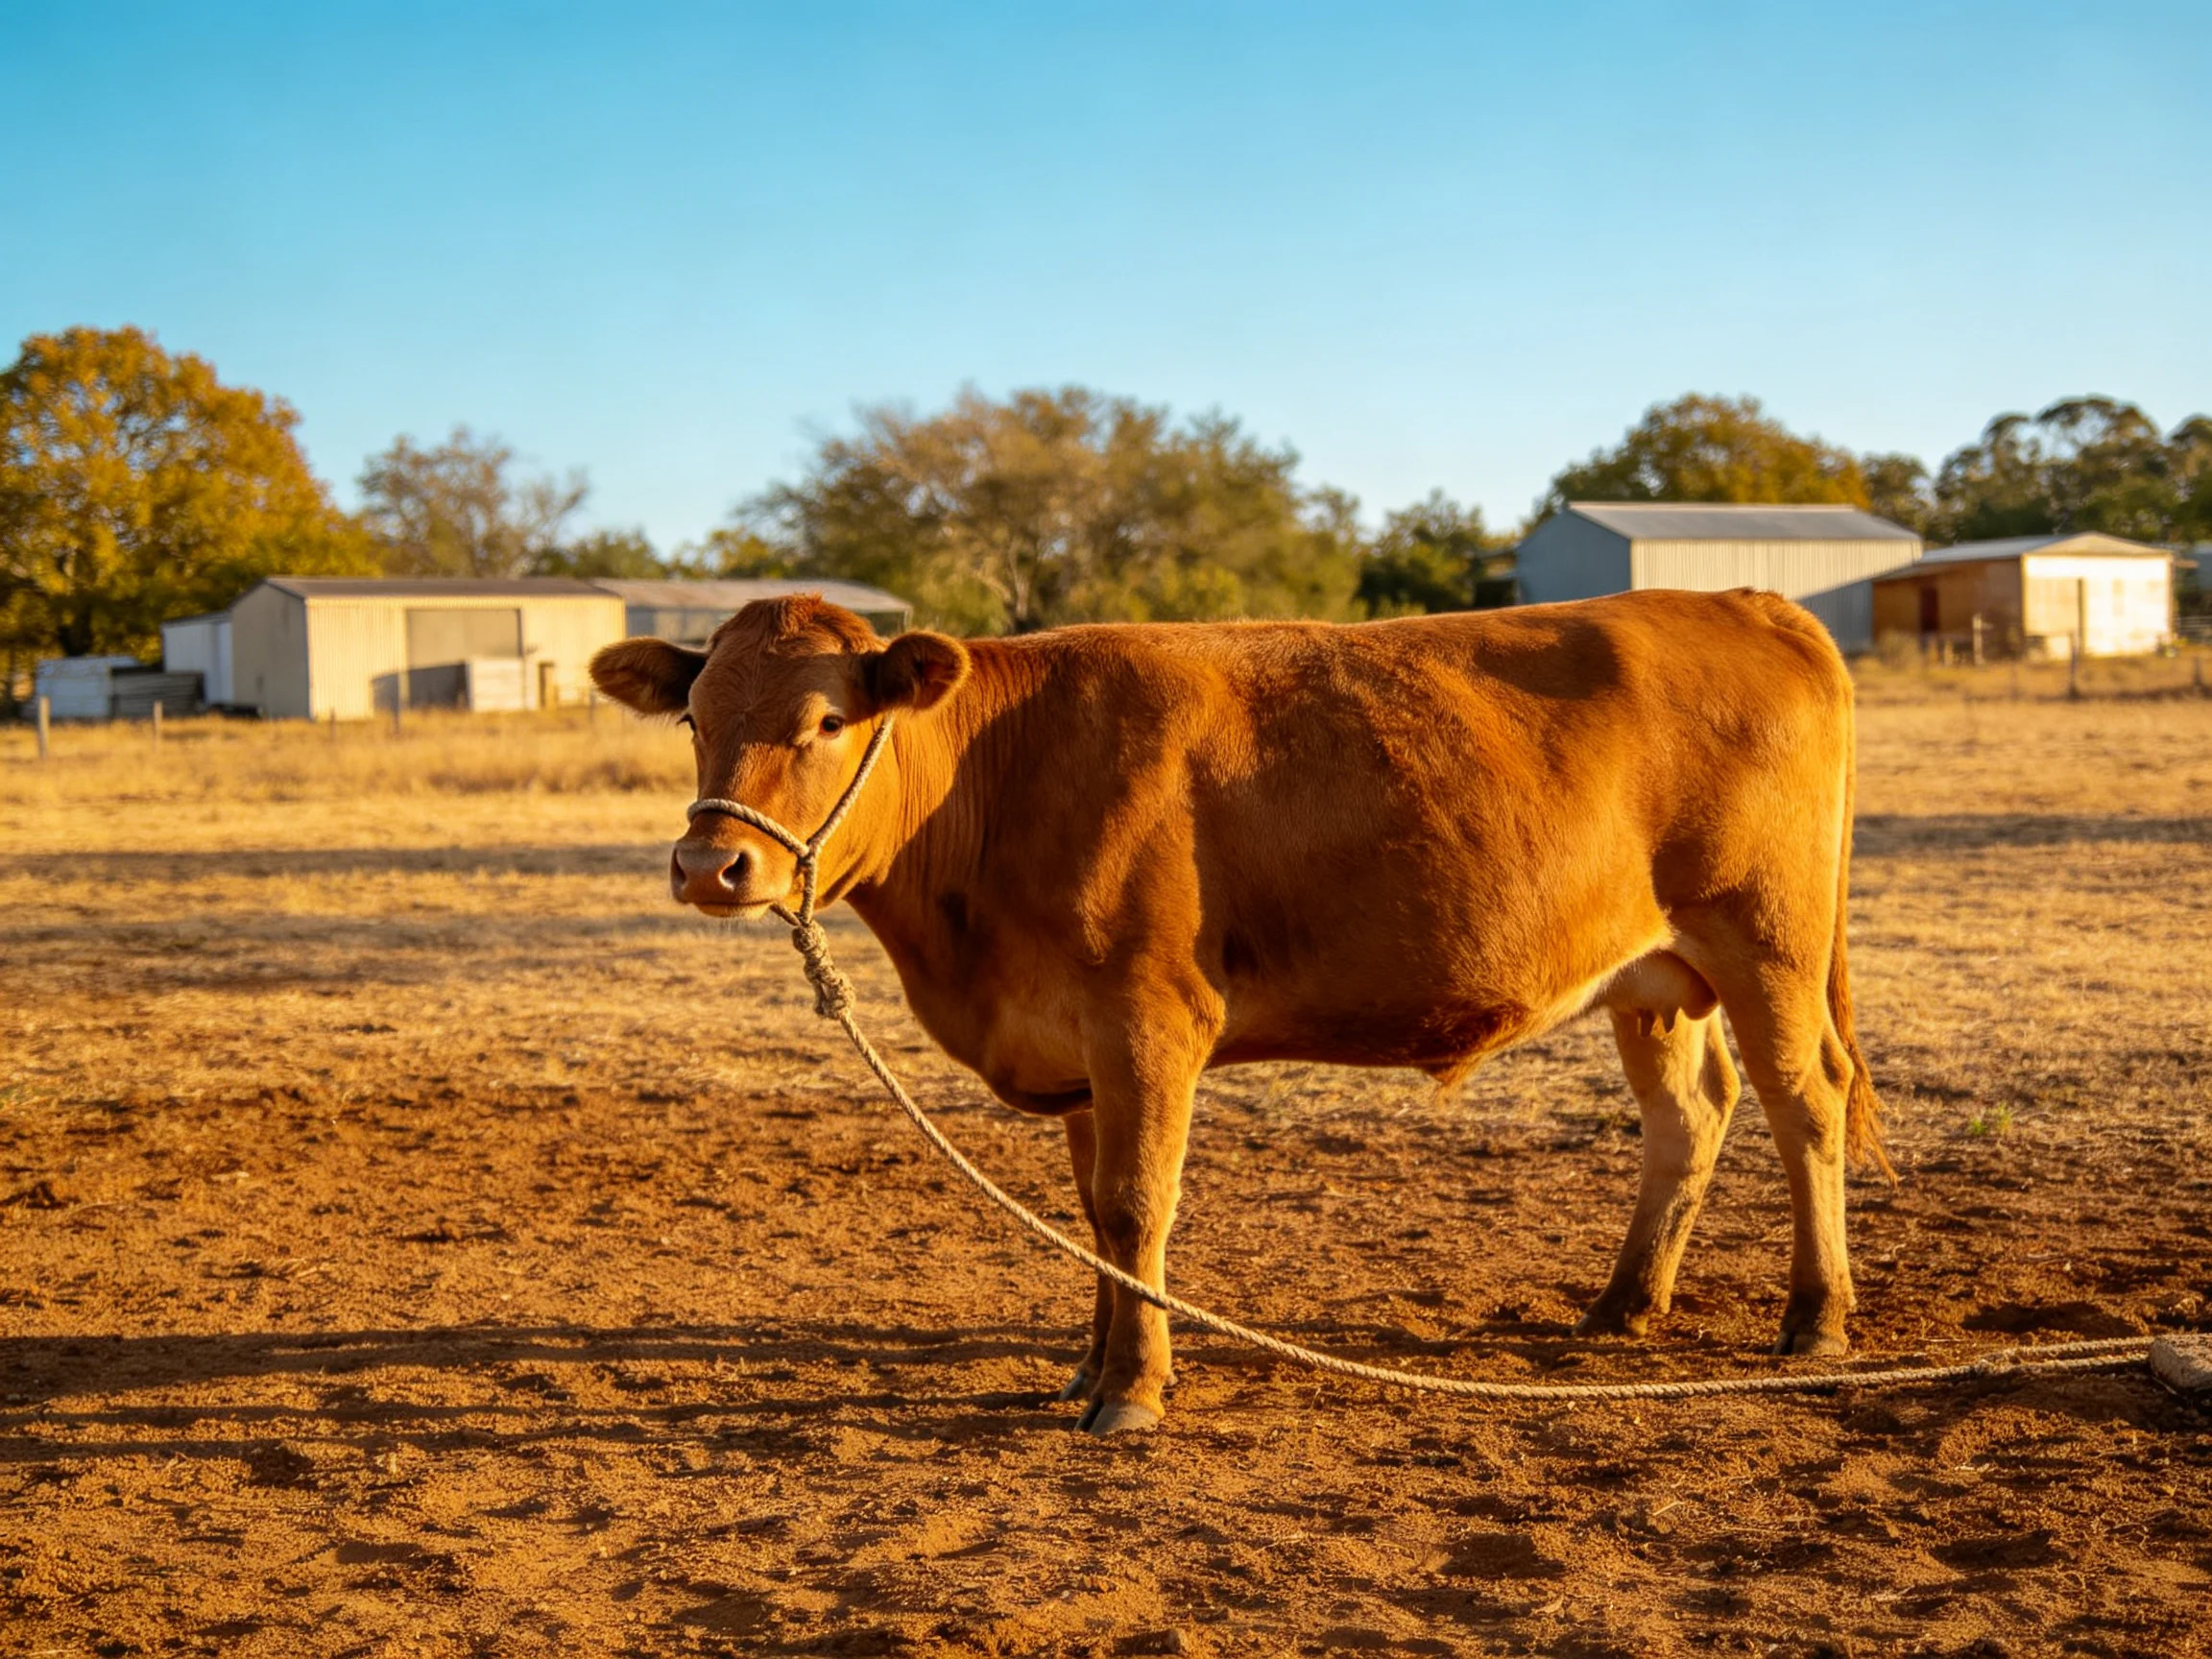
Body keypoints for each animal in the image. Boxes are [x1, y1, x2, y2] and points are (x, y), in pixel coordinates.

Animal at [590, 587, 1888, 1435]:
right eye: (696, 718)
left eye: (824, 723)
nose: (711, 868)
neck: (1000, 776)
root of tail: (1746, 600)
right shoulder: (1077, 1047)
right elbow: (1094, 1215)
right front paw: (1089, 1369)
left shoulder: (1147, 1019)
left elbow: (1134, 1204)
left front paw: (1132, 1392)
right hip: (1653, 975)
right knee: (1691, 1113)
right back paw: (1624, 1305)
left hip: (1765, 937)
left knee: (1804, 1100)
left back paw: (1816, 1319)